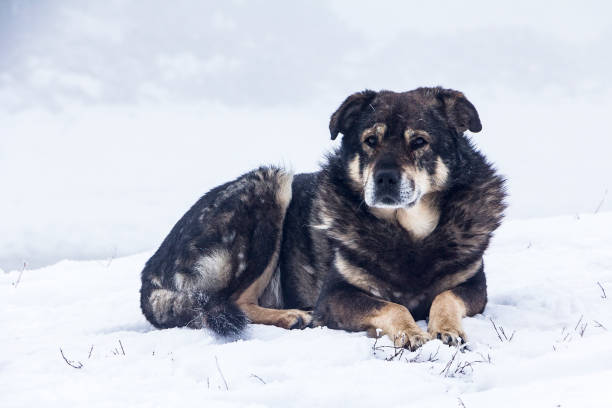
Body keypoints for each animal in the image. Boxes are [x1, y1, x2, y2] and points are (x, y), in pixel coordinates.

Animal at [140, 87, 506, 350]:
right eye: (370, 141)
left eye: (419, 141)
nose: (384, 179)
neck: (409, 234)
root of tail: (150, 273)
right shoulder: (334, 296)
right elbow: (391, 307)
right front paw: (409, 332)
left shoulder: (473, 285)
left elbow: (445, 297)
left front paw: (447, 329)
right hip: (270, 188)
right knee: (230, 301)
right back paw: (292, 316)